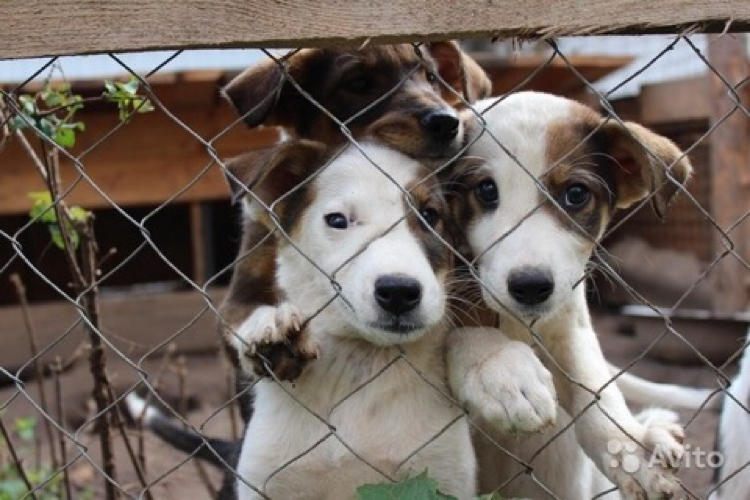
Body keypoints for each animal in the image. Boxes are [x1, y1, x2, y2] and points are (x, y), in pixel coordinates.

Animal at [220, 42, 494, 414]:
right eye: (360, 83)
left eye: (431, 77)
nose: (446, 122)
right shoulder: (239, 293)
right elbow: (243, 316)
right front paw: (271, 327)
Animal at [231, 140, 488, 500]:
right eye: (338, 220)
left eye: (430, 215)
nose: (399, 291)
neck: (361, 362)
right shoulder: (266, 481)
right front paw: (271, 327)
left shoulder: (445, 477)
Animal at [446, 92, 700, 498]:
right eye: (486, 190)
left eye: (575, 194)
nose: (530, 287)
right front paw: (499, 367)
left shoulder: (568, 321)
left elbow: (594, 387)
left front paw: (630, 445)